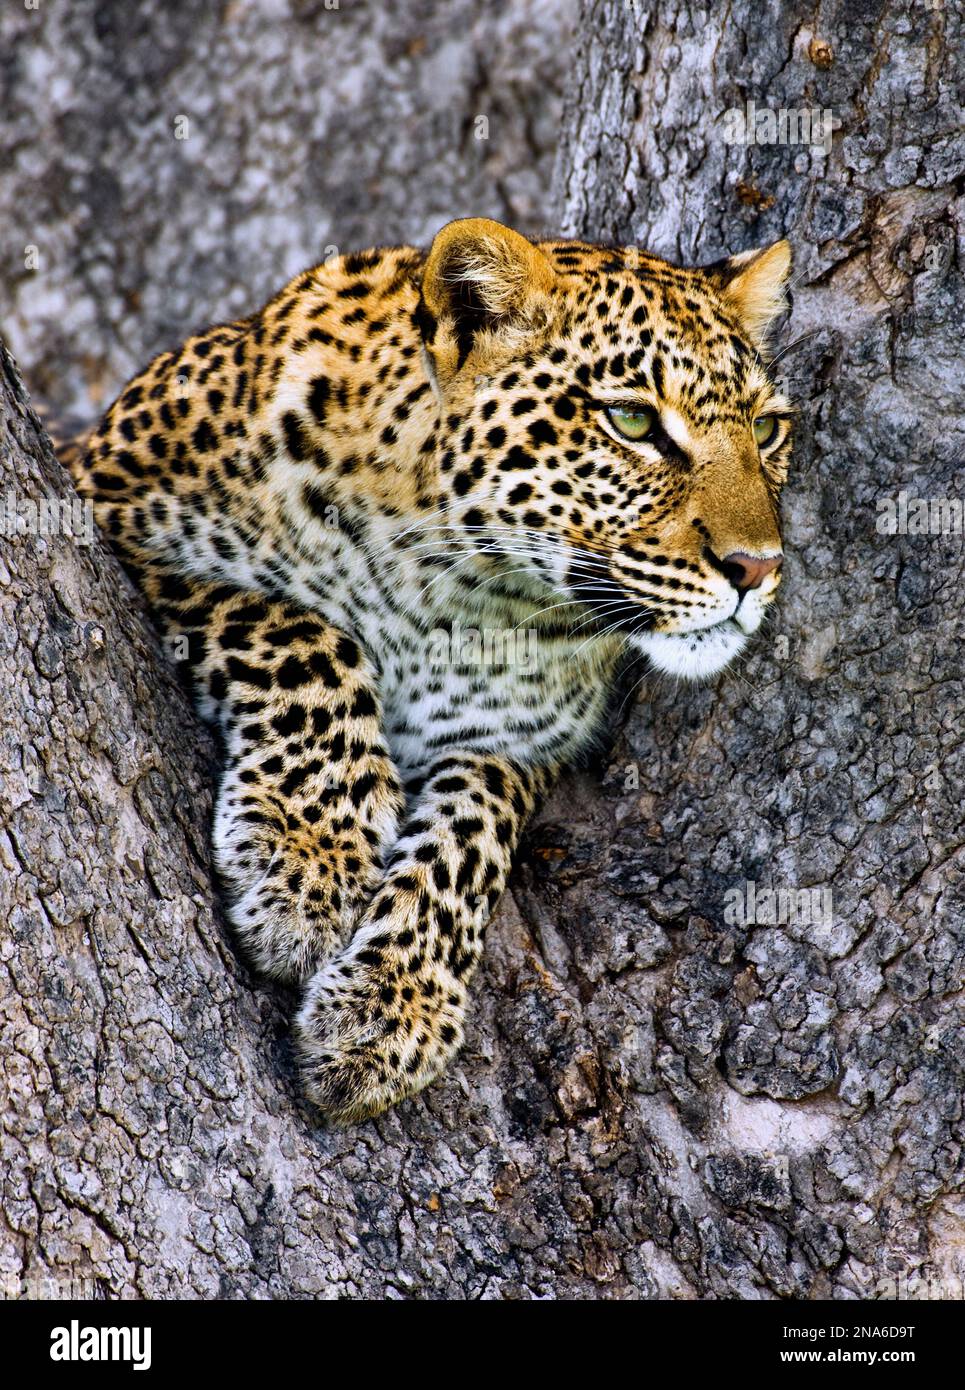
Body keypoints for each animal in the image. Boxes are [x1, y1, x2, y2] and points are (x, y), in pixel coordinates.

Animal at [66, 219, 795, 1128]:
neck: (456, 594)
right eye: (630, 420)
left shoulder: (511, 741)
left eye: (766, 430)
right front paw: (310, 855)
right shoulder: (107, 511)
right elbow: (301, 632)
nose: (756, 567)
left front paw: (391, 1008)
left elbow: (468, 840)